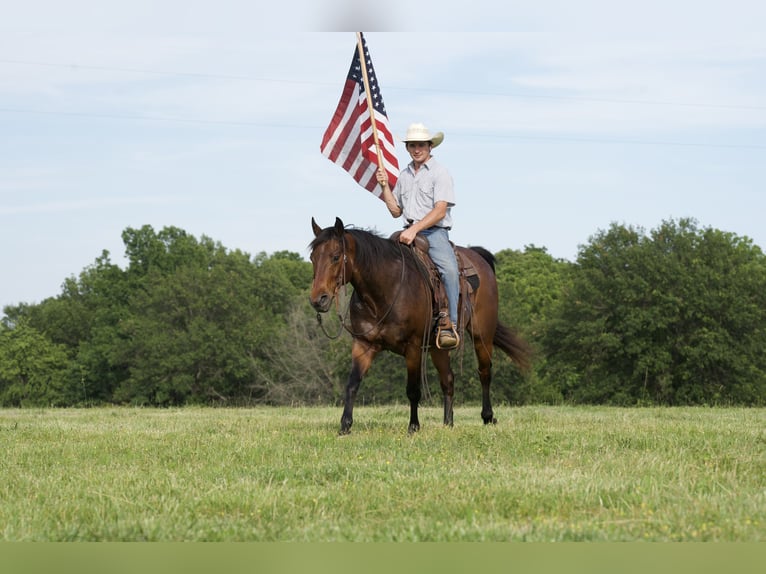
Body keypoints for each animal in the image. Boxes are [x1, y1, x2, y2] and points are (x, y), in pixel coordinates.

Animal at [308, 218, 532, 434]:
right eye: (312, 258)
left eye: (336, 256)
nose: (318, 299)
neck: (384, 291)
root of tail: (479, 259)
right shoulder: (364, 344)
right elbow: (352, 384)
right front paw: (345, 426)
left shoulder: (413, 347)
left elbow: (413, 390)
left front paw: (413, 427)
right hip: (439, 347)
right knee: (448, 379)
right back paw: (448, 423)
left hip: (482, 335)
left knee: (484, 372)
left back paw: (487, 417)